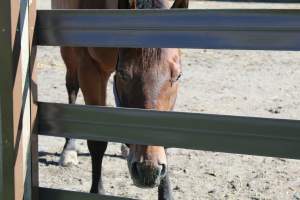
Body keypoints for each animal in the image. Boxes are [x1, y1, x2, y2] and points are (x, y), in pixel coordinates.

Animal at [50, 0, 189, 199]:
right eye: (123, 73)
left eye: (177, 76)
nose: (148, 170)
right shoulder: (90, 69)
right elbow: (97, 142)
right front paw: (97, 191)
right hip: (70, 54)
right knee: (72, 90)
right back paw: (69, 150)